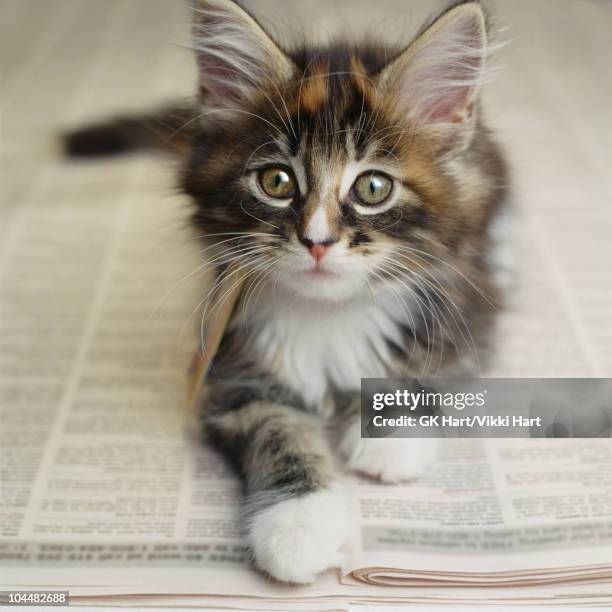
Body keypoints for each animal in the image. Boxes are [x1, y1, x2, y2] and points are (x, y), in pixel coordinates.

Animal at [64, 0, 510, 584]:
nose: (317, 242)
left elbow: (432, 365)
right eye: (276, 181)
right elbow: (276, 430)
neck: (328, 314)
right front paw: (297, 527)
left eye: (373, 187)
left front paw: (390, 443)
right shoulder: (230, 361)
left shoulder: (467, 295)